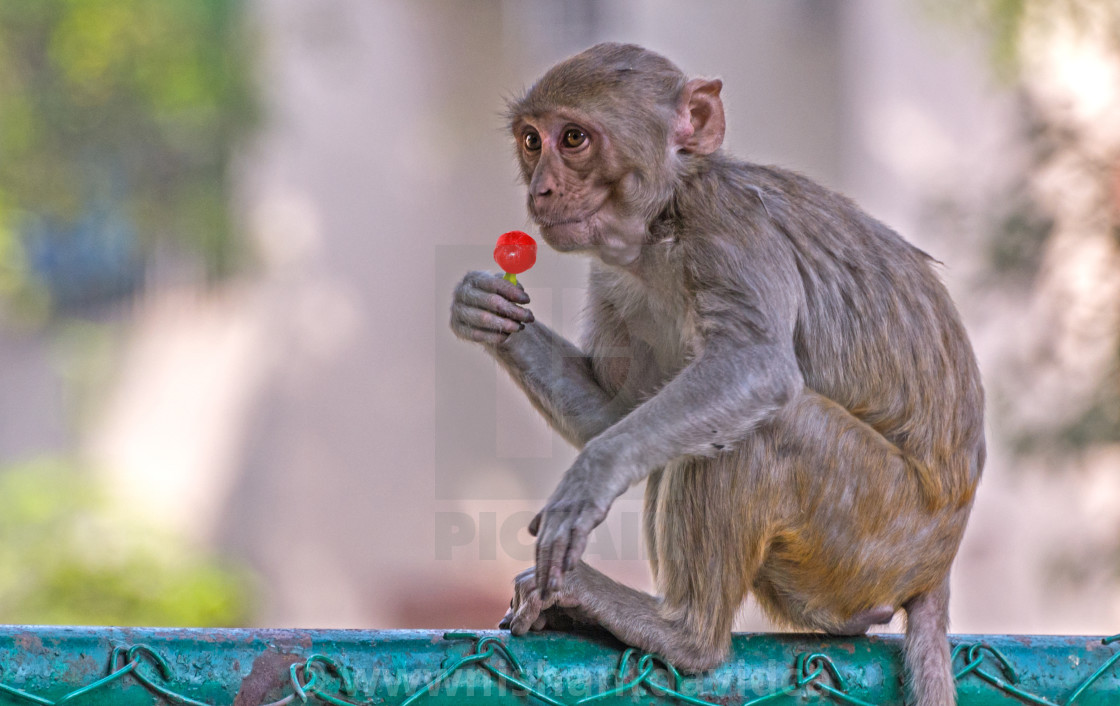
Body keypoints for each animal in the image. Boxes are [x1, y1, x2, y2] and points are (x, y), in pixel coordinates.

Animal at [450, 42, 985, 706]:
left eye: (572, 138)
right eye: (531, 141)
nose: (542, 189)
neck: (663, 221)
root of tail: (938, 567)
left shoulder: (727, 225)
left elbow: (756, 368)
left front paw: (589, 478)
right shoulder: (613, 278)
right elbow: (619, 413)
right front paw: (482, 308)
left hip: (879, 535)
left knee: (765, 428)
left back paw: (684, 634)